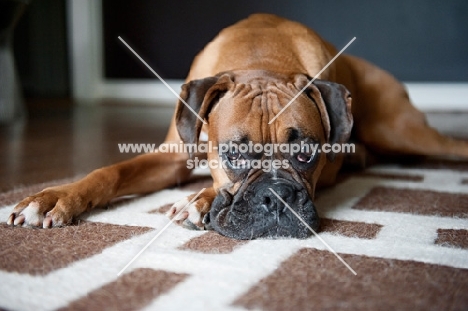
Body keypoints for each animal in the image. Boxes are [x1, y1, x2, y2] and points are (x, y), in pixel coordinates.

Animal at [7, 13, 468, 240]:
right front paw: (54, 198)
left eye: (307, 155)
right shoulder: (172, 156)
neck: (260, 57)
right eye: (235, 154)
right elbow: (111, 172)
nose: (277, 197)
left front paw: (201, 200)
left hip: (404, 134)